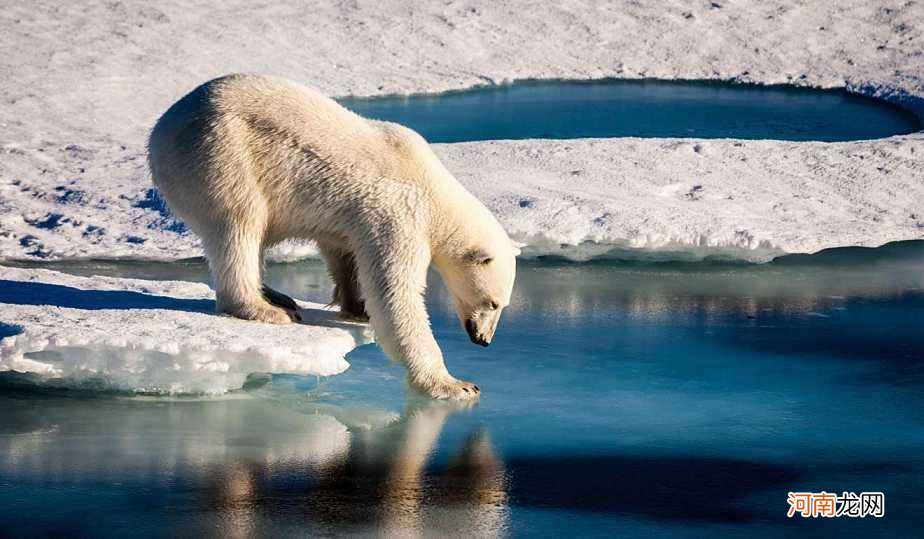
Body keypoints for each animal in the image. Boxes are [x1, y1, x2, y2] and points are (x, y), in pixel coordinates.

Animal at [148, 74, 516, 398]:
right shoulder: (399, 215)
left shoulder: (355, 216)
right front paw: (455, 384)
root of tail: (161, 128)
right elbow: (396, 296)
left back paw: (277, 296)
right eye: (493, 303)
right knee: (239, 224)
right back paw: (264, 308)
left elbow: (344, 252)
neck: (432, 188)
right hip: (221, 153)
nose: (484, 340)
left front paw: (357, 306)